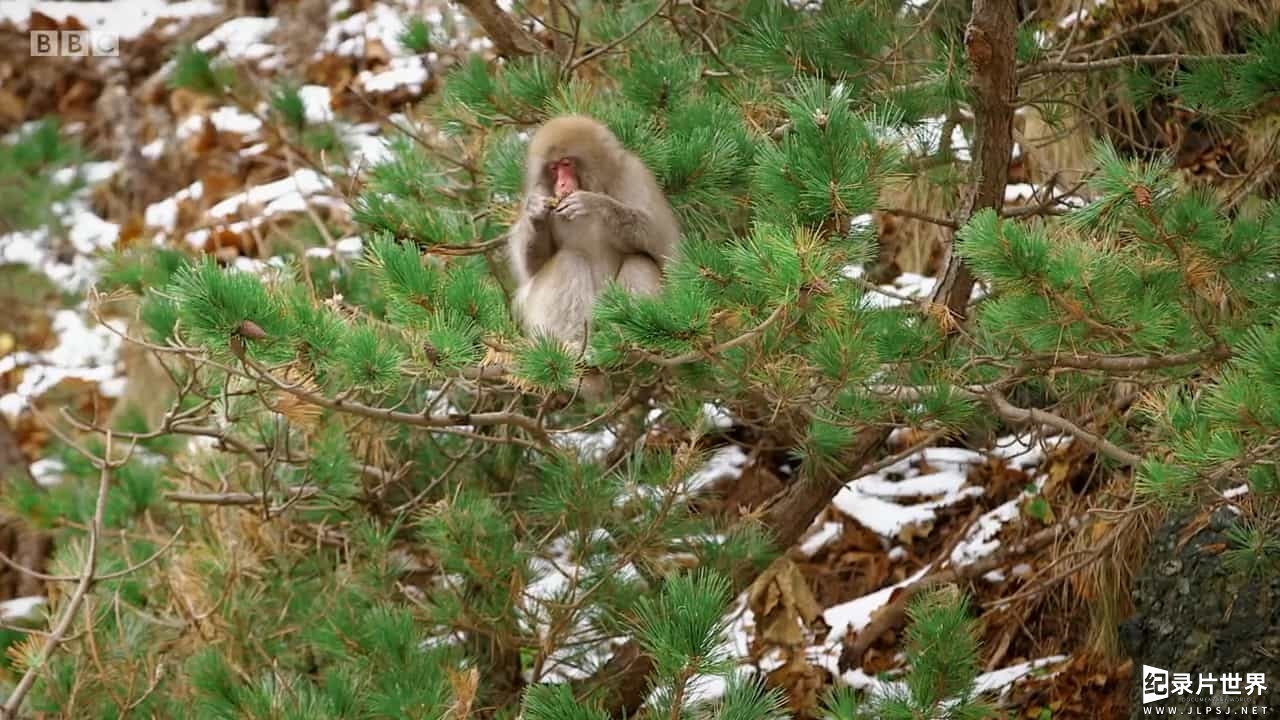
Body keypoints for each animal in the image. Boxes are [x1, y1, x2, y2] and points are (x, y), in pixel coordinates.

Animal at [504, 114, 680, 345]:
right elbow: (530, 270)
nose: (561, 185)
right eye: (553, 168)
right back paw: (573, 342)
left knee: (641, 261)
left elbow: (667, 251)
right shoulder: (540, 190)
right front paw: (536, 213)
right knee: (568, 259)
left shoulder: (634, 174)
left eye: (566, 163)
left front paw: (594, 203)